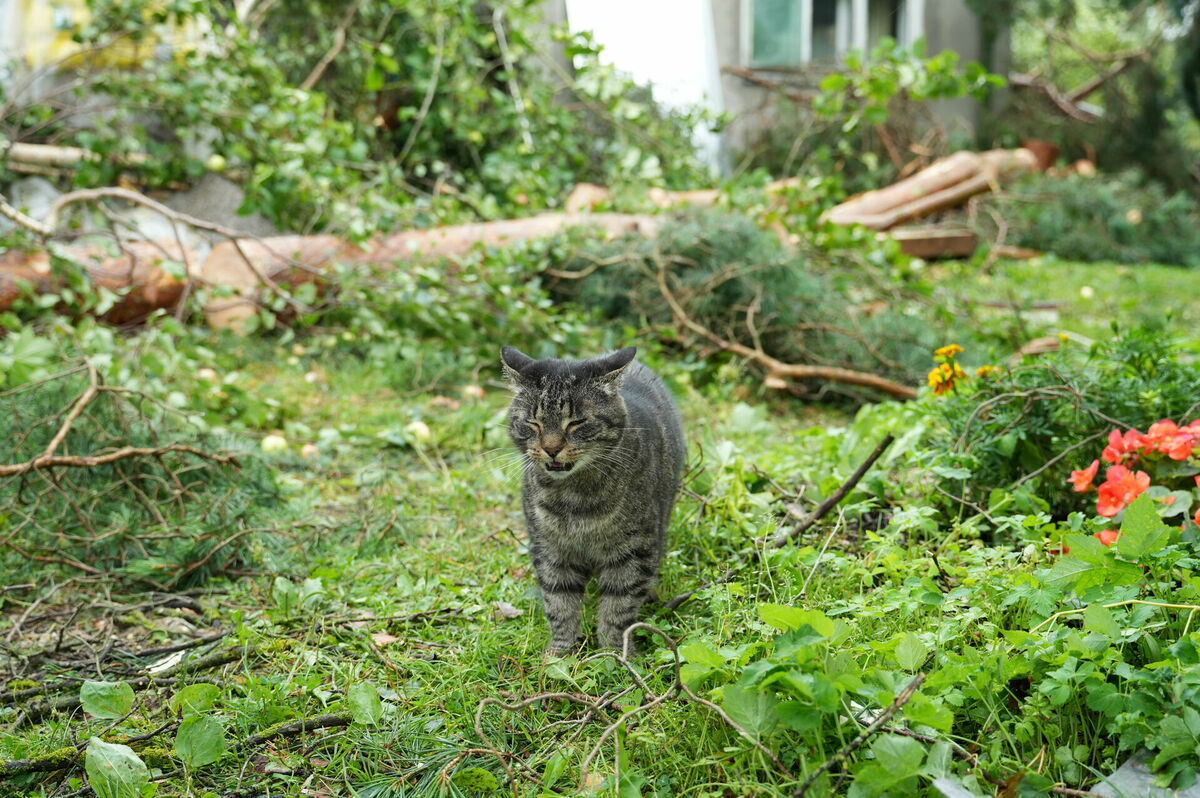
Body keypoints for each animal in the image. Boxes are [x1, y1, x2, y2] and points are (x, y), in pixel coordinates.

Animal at [499, 345, 686, 652]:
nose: (551, 449)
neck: (573, 500)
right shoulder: (550, 550)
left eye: (577, 422)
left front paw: (615, 652)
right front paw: (561, 651)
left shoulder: (633, 551)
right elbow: (559, 601)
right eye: (533, 423)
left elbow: (619, 605)